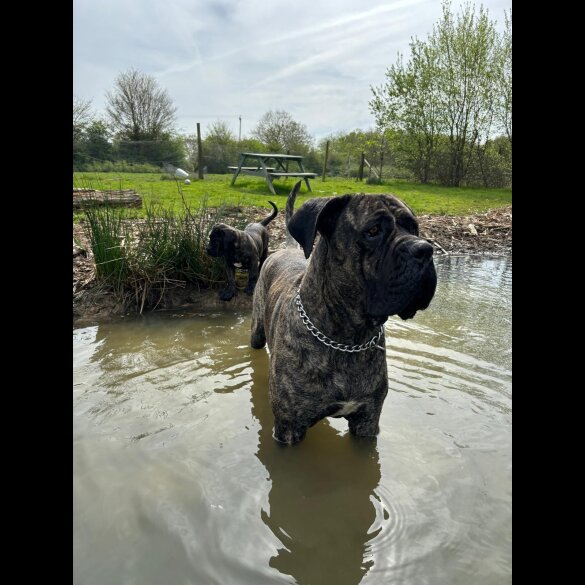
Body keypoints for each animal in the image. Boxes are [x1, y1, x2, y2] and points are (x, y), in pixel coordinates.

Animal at [249, 182, 436, 442]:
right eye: (373, 230)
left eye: (414, 227)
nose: (425, 249)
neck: (348, 338)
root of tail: (287, 247)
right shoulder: (289, 428)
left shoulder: (367, 421)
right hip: (256, 332)